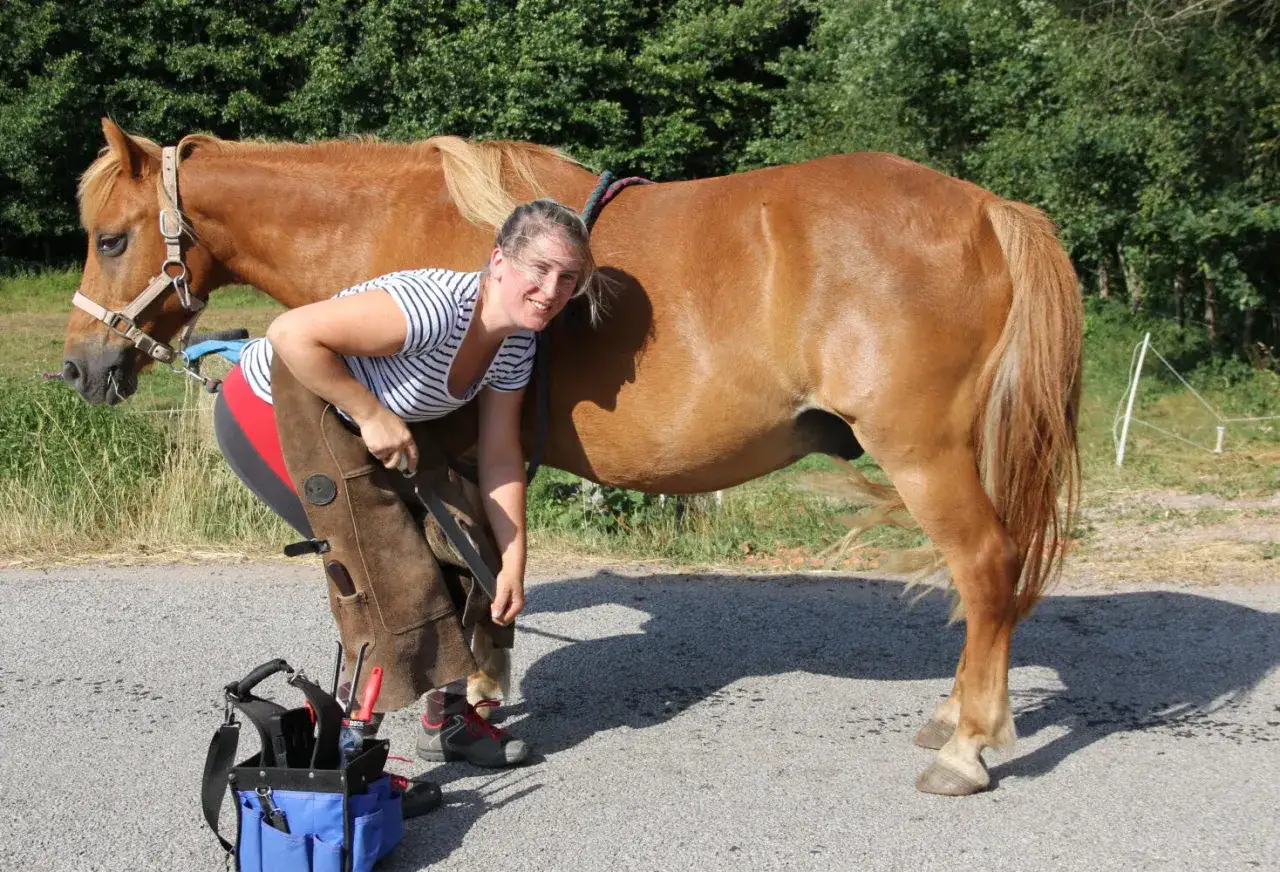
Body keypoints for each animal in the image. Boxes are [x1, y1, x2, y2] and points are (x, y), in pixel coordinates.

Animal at [63, 118, 1082, 796]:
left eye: (111, 238)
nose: (83, 367)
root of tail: (988, 208)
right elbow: (483, 570)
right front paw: (483, 695)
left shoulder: (447, 447)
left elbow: (466, 580)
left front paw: (470, 699)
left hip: (925, 453)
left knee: (986, 568)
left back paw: (968, 746)